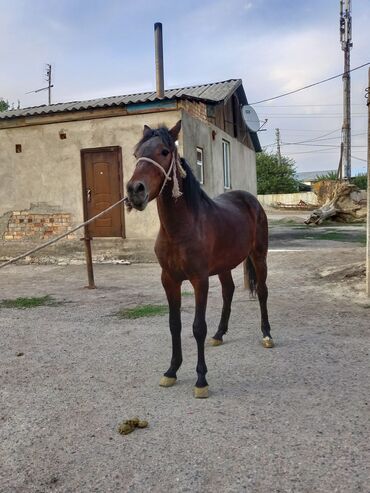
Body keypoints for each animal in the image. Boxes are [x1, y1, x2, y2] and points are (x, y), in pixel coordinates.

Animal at [125, 121, 274, 398]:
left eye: (164, 152)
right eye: (136, 153)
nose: (134, 191)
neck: (181, 228)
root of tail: (250, 199)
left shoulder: (199, 280)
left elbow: (197, 327)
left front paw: (201, 380)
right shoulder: (169, 280)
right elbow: (174, 324)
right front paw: (171, 371)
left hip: (259, 256)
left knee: (262, 292)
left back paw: (267, 335)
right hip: (225, 266)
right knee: (229, 291)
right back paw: (220, 334)